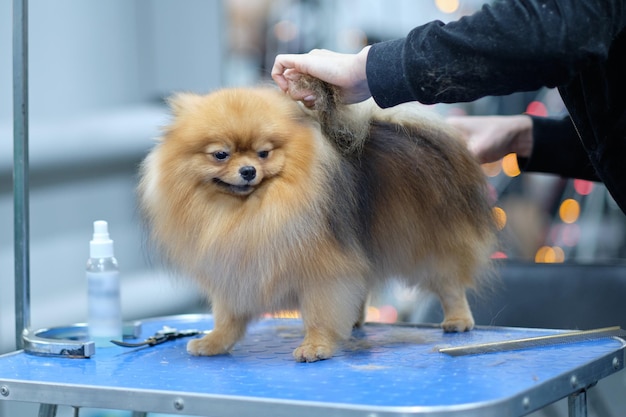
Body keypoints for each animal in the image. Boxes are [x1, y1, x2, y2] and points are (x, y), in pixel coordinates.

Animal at [139, 77, 494, 360]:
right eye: (220, 155)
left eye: (264, 153)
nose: (249, 170)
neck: (247, 213)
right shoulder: (234, 270)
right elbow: (228, 317)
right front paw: (214, 343)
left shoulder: (323, 273)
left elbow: (320, 314)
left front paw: (316, 347)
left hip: (428, 242)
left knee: (449, 283)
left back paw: (458, 320)